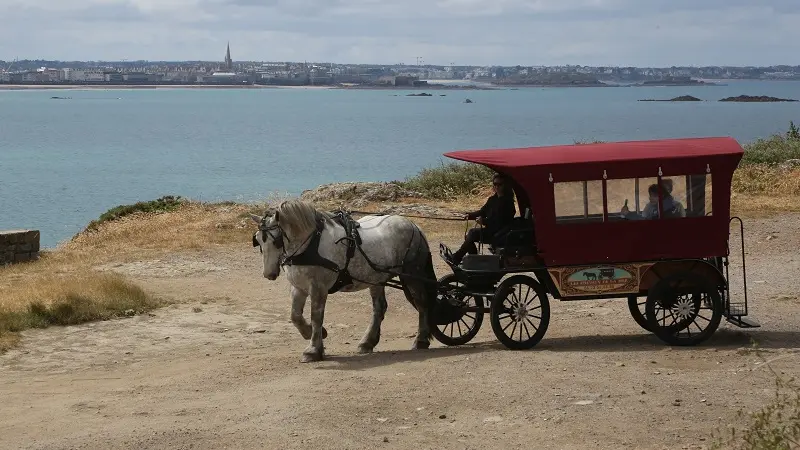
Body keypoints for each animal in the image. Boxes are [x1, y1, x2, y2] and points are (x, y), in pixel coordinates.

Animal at [250, 200, 438, 362]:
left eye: (276, 241)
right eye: (258, 240)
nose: (269, 274)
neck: (311, 243)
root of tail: (413, 225)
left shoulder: (318, 288)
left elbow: (316, 316)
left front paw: (313, 350)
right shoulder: (298, 287)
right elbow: (295, 316)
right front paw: (312, 335)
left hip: (411, 274)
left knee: (422, 303)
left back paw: (420, 340)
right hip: (376, 279)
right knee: (379, 307)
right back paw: (367, 342)